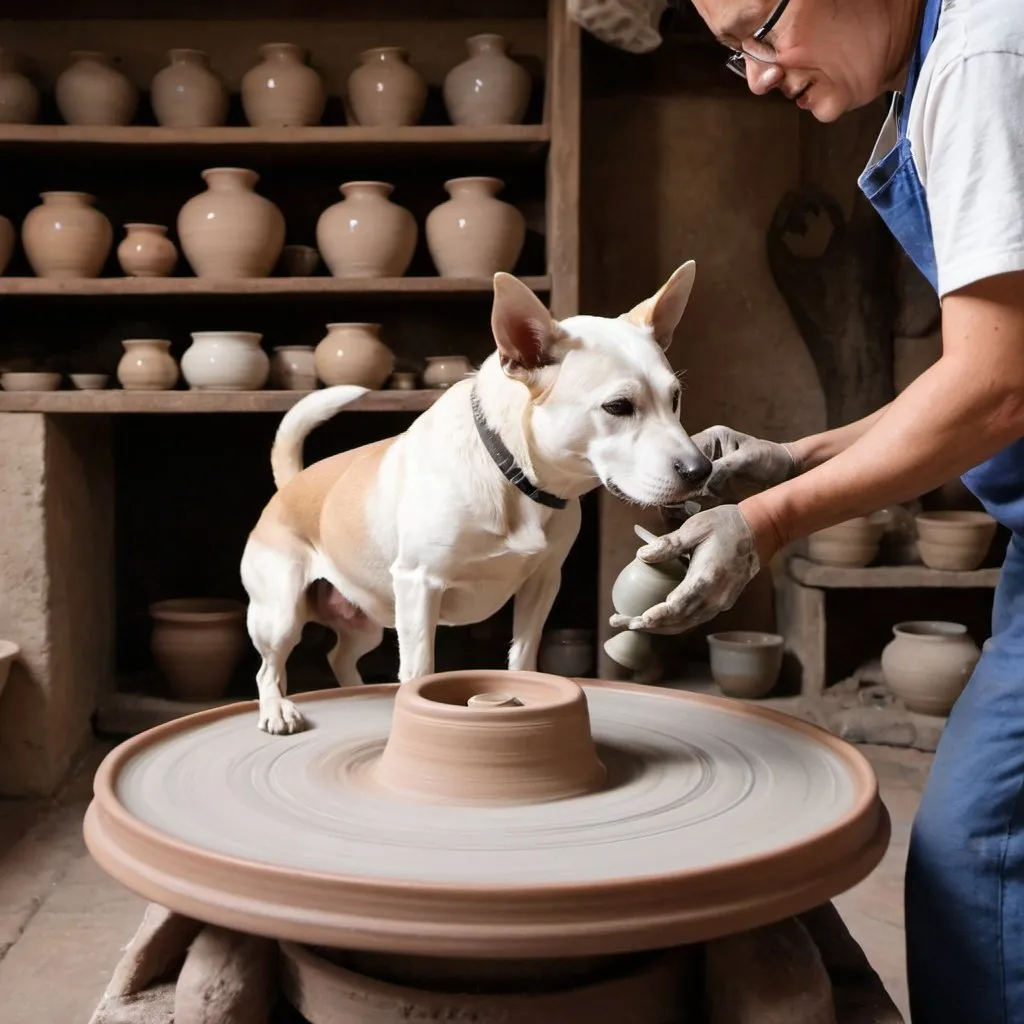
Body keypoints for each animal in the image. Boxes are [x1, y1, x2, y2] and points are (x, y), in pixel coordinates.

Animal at [239, 260, 712, 733]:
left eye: (675, 398)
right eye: (618, 407)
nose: (700, 470)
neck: (514, 476)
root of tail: (291, 484)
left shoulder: (543, 582)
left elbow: (523, 657)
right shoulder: (418, 585)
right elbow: (419, 671)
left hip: (367, 622)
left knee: (338, 655)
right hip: (281, 615)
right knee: (267, 670)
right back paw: (277, 709)